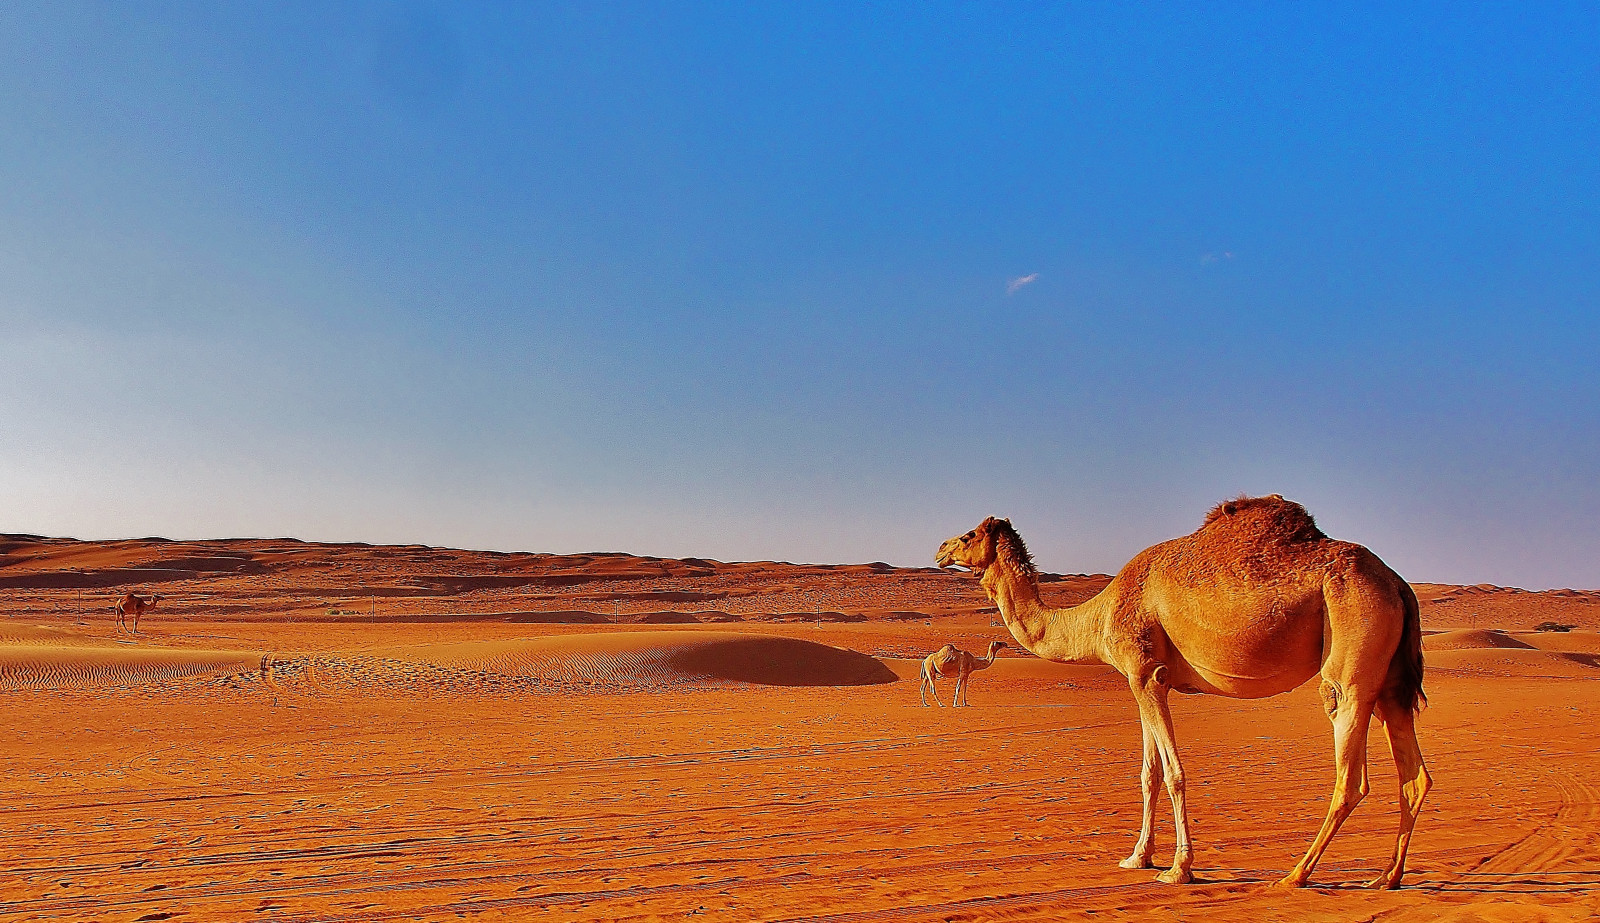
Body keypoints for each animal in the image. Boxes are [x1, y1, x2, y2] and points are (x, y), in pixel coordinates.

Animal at [936, 496, 1429, 890]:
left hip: (1350, 653)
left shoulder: (1145, 673)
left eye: (968, 534)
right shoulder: (1145, 680)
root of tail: (1398, 583)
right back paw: (1385, 877)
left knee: (1351, 772)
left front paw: (1178, 869)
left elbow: (1173, 773)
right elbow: (1148, 774)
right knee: (1414, 774)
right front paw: (1137, 857)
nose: (940, 550)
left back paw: (1295, 875)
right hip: (1390, 683)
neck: (1098, 615)